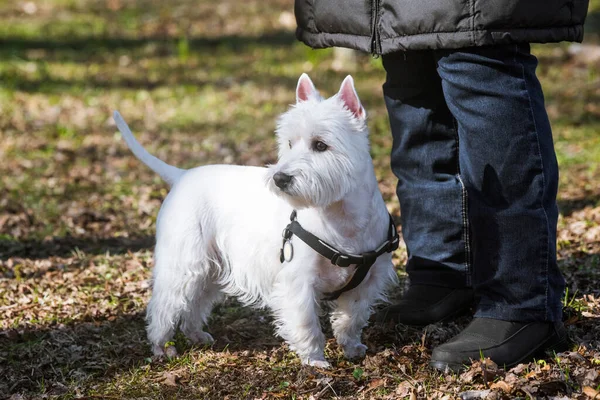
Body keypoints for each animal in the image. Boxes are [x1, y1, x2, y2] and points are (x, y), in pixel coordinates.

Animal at [115, 75, 400, 368]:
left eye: (321, 145)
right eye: (289, 143)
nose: (280, 178)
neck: (342, 219)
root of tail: (182, 175)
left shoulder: (368, 281)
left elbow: (352, 317)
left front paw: (352, 347)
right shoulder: (298, 281)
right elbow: (307, 323)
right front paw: (314, 360)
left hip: (211, 266)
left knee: (195, 301)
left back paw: (196, 334)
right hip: (184, 262)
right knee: (165, 303)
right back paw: (161, 346)